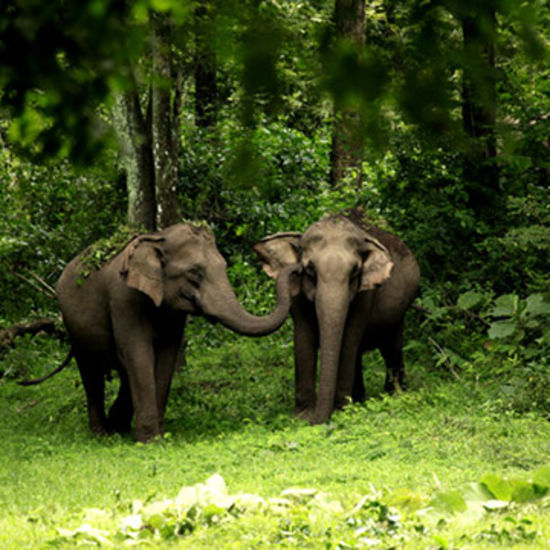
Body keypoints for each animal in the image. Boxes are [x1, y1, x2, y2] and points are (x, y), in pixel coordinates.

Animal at [53, 223, 298, 444]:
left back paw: (117, 427)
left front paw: (158, 436)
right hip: (73, 326)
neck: (158, 239)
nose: (295, 269)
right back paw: (101, 435)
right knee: (90, 372)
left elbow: (166, 355)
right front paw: (150, 442)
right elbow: (137, 352)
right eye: (194, 273)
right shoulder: (123, 298)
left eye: (225, 266)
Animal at [256, 211, 422, 426]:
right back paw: (361, 399)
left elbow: (349, 338)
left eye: (355, 271)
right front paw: (302, 417)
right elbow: (303, 337)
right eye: (309, 268)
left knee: (391, 347)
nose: (318, 421)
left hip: (400, 312)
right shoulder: (297, 295)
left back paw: (394, 394)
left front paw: (341, 411)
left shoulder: (364, 294)